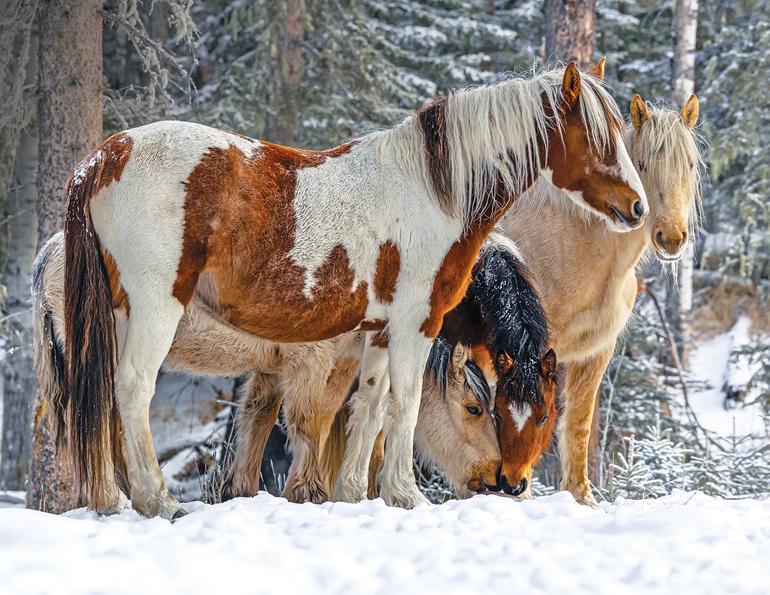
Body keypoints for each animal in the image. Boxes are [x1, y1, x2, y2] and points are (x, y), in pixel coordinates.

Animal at [34, 232, 499, 504]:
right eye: (474, 408)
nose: (498, 477)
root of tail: (49, 253)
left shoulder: (273, 372)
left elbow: (256, 425)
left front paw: (242, 491)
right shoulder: (313, 364)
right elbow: (314, 425)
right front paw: (309, 492)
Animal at [500, 86, 704, 505]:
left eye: (690, 165)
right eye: (641, 164)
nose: (672, 238)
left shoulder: (595, 352)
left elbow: (577, 423)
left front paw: (580, 498)